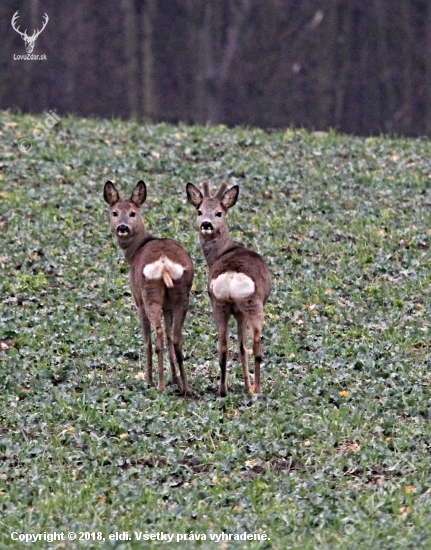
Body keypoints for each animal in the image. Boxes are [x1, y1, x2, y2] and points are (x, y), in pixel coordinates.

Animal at [104, 181, 193, 396]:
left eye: (133, 213)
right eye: (115, 212)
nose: (122, 227)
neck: (135, 251)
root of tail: (164, 263)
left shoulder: (137, 300)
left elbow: (146, 340)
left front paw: (149, 378)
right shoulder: (167, 306)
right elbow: (169, 336)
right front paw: (174, 379)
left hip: (149, 292)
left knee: (158, 334)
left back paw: (158, 385)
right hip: (181, 293)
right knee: (175, 337)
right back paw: (185, 387)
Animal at [187, 183, 272, 398]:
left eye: (218, 212)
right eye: (200, 211)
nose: (206, 224)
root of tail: (231, 276)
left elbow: (238, 346)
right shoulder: (241, 313)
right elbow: (242, 347)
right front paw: (248, 386)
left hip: (218, 304)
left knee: (223, 345)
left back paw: (222, 389)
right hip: (251, 304)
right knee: (255, 344)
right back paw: (257, 389)